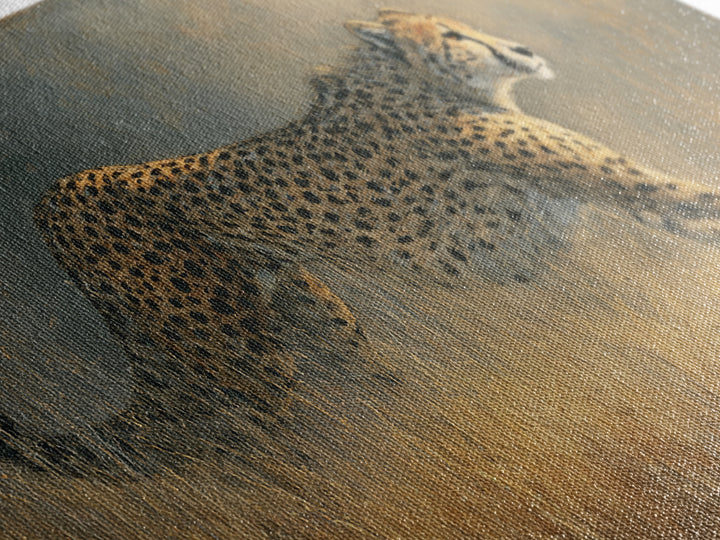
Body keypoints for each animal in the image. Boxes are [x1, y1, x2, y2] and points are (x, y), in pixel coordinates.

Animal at [22, 9, 720, 475]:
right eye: (455, 37)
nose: (522, 45)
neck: (408, 78)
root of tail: (51, 196)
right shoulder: (630, 188)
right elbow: (689, 198)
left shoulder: (629, 199)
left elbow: (685, 213)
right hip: (241, 351)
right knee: (225, 433)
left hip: (300, 312)